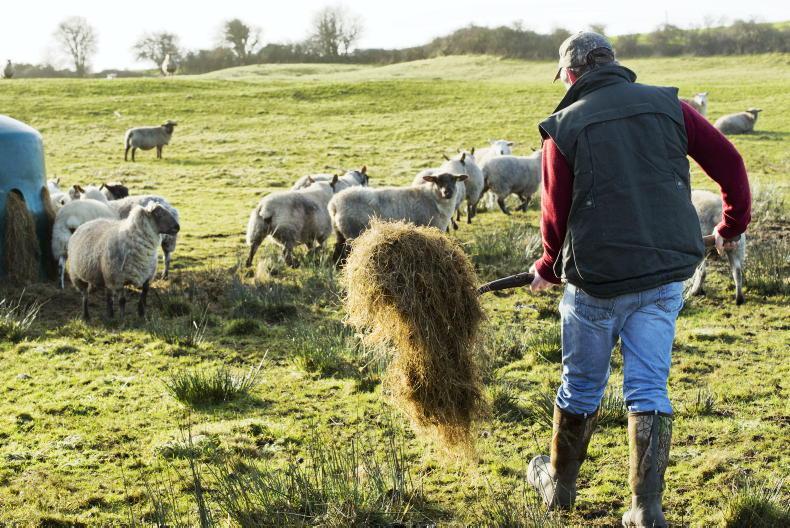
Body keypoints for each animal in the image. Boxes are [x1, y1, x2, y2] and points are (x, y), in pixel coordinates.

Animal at [330, 172, 468, 266]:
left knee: (337, 250)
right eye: (437, 180)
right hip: (353, 232)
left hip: (340, 232)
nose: (447, 192)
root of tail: (335, 203)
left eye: (454, 180)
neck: (434, 197)